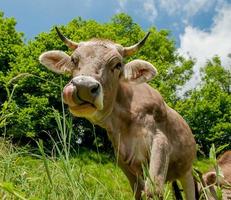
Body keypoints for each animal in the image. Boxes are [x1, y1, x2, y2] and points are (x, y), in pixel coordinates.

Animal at [38, 27, 196, 199]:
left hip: (187, 172)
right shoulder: (122, 157)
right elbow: (138, 191)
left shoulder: (161, 141)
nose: (84, 87)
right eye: (74, 60)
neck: (125, 119)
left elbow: (153, 190)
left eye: (118, 64)